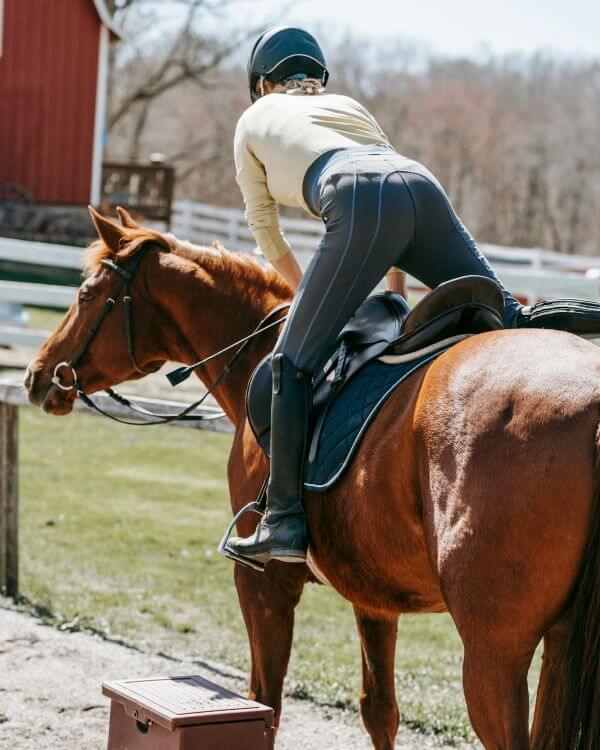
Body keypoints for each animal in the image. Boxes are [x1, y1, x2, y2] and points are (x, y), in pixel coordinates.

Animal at [24, 209, 600, 748]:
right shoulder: (373, 596)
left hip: (492, 655)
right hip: (557, 646)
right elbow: (379, 711)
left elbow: (266, 704)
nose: (35, 376)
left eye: (86, 294)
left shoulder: (264, 584)